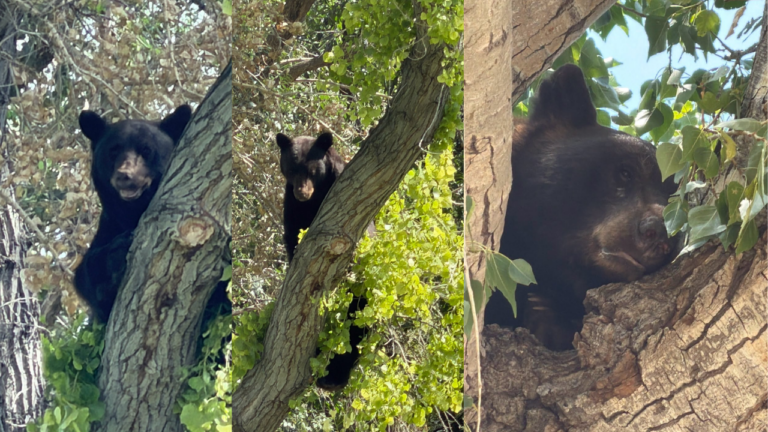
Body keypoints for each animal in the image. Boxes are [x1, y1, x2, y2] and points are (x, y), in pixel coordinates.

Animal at [76, 104, 231, 329]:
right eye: (113, 150)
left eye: (146, 150)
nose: (124, 176)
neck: (136, 211)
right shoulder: (110, 225)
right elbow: (86, 275)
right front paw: (117, 252)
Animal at [275, 132, 367, 390]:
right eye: (291, 168)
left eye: (312, 169)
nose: (302, 192)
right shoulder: (290, 205)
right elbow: (292, 235)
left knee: (355, 329)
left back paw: (335, 377)